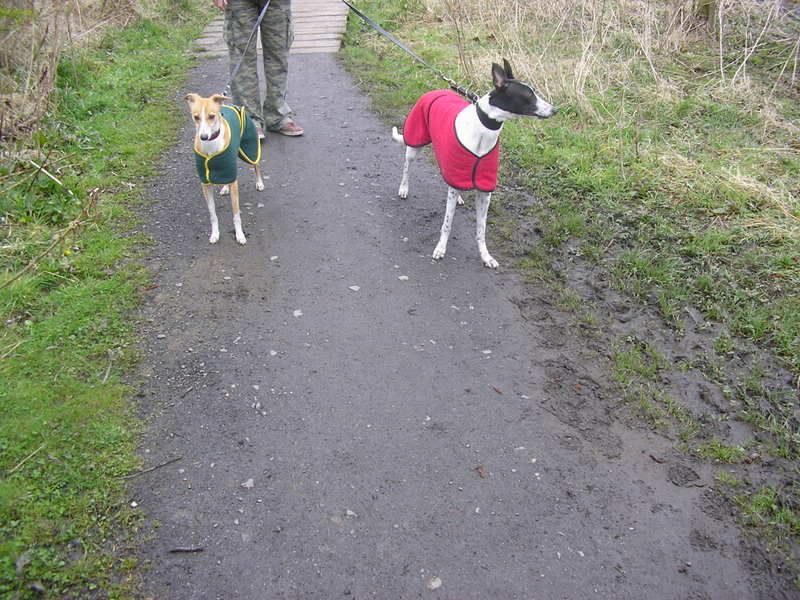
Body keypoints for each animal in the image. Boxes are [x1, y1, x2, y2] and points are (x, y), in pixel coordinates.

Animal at [186, 94, 264, 244]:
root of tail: (232, 106)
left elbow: (236, 215)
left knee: (256, 164)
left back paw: (259, 183)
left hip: (249, 147)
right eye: (196, 117)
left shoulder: (234, 182)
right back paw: (225, 188)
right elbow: (212, 214)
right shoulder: (205, 183)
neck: (211, 145)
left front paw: (240, 235)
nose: (203, 137)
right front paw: (215, 233)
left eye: (211, 116)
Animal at [392, 60, 556, 268]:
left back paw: (459, 198)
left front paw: (485, 256)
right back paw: (403, 188)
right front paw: (440, 248)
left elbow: (481, 228)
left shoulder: (485, 190)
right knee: (407, 166)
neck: (485, 128)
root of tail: (436, 90)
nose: (555, 110)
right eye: (528, 95)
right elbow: (447, 223)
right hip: (416, 140)